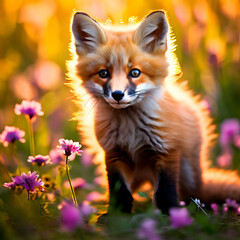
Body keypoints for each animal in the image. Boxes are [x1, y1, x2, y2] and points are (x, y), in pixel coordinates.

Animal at [68, 10, 240, 214]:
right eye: (103, 73)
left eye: (135, 73)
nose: (117, 95)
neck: (130, 130)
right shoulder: (113, 153)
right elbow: (120, 191)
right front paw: (117, 214)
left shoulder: (166, 150)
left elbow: (165, 192)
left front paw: (171, 214)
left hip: (189, 175)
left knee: (189, 196)